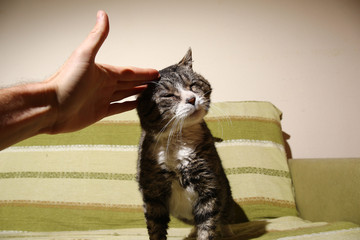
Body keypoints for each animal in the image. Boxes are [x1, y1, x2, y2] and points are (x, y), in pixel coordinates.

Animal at [136, 49, 249, 240]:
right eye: (168, 95)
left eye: (193, 85)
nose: (191, 99)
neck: (178, 141)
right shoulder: (152, 192)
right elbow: (155, 227)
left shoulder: (209, 186)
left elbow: (207, 225)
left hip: (225, 196)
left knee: (224, 219)